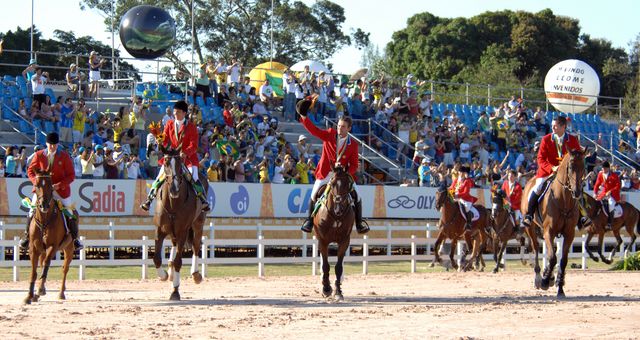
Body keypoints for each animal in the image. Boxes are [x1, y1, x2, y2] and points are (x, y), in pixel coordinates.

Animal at [23, 169, 74, 304]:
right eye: (36, 186)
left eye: (51, 187)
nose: (43, 205)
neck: (44, 220)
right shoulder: (34, 248)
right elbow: (34, 271)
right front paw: (29, 296)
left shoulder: (53, 246)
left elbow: (46, 265)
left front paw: (40, 290)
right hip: (42, 250)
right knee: (42, 265)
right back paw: (37, 294)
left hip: (69, 249)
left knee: (64, 269)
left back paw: (61, 293)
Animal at [152, 145, 205, 300]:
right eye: (166, 163)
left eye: (180, 163)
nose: (174, 188)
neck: (172, 203)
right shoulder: (159, 230)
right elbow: (156, 258)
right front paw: (164, 275)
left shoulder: (182, 231)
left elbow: (178, 262)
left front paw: (175, 291)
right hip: (172, 230)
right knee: (174, 245)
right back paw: (169, 272)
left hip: (198, 224)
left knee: (196, 246)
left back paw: (196, 274)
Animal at [314, 164, 356, 300]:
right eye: (332, 184)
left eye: (348, 184)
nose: (339, 209)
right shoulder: (323, 241)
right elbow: (326, 265)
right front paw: (326, 288)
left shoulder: (344, 241)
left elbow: (338, 267)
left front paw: (338, 291)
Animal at [520, 150, 584, 298]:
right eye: (570, 167)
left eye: (584, 167)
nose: (577, 192)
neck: (564, 199)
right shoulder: (548, 231)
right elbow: (552, 257)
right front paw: (544, 281)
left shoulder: (569, 233)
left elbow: (563, 260)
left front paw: (559, 287)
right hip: (531, 228)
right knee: (536, 248)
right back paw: (539, 277)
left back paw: (551, 277)